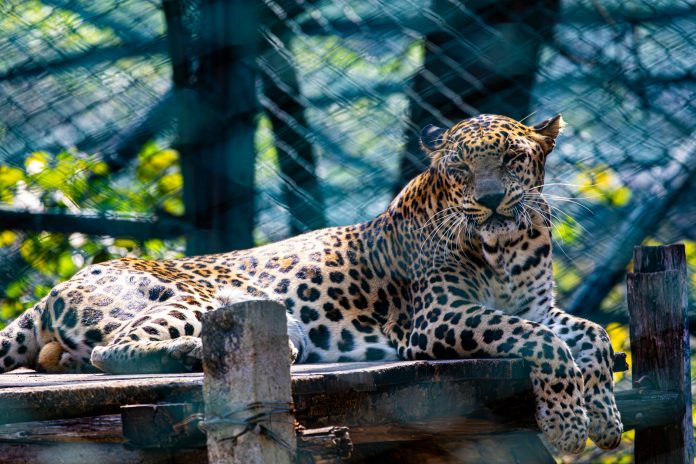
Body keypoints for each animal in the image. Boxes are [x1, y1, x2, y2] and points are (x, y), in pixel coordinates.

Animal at [0, 114, 622, 454]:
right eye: (460, 170)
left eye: (514, 159)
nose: (491, 200)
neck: (509, 246)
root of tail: (56, 289)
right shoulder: (438, 318)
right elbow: (548, 344)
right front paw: (568, 427)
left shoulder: (536, 307)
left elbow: (590, 335)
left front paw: (606, 420)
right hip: (197, 298)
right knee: (114, 348)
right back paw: (203, 351)